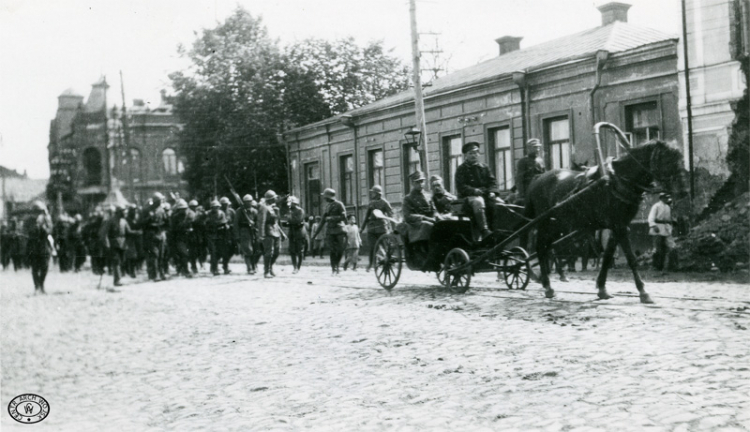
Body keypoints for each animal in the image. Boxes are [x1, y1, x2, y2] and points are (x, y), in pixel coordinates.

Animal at [524, 141, 692, 304]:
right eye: (667, 161)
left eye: (681, 160)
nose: (684, 191)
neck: (619, 181)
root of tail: (537, 180)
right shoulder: (619, 227)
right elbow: (631, 259)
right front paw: (643, 292)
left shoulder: (619, 226)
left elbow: (607, 256)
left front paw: (602, 288)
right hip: (546, 223)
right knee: (541, 248)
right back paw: (547, 285)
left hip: (558, 224)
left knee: (548, 248)